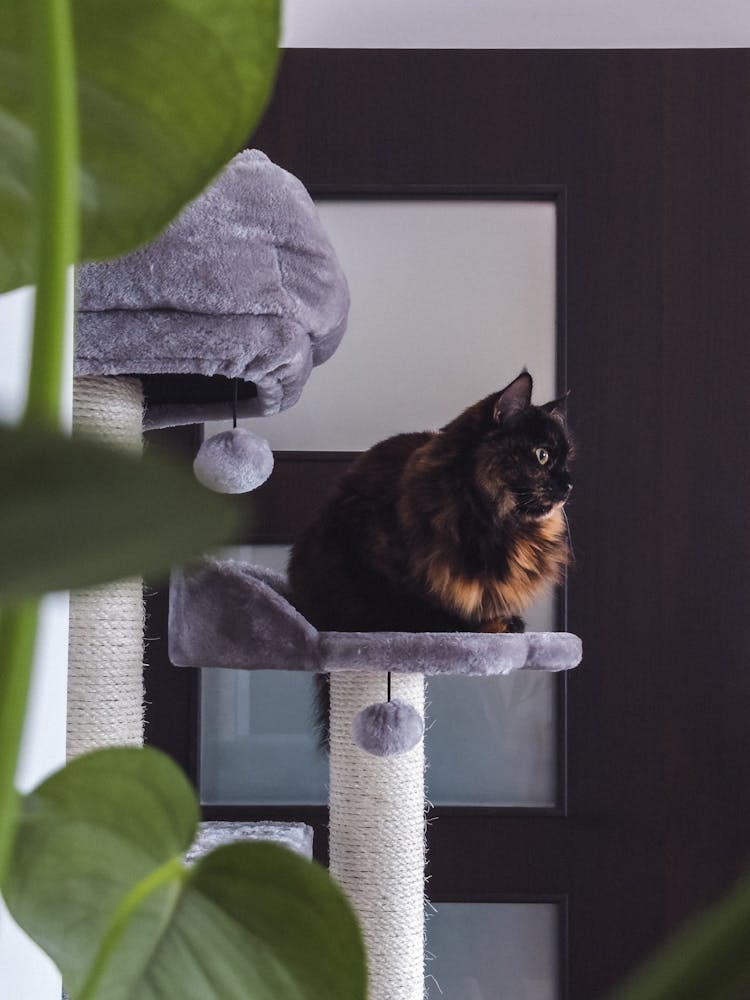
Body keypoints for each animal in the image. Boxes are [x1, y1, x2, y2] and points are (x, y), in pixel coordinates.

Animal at [290, 372, 572, 636]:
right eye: (542, 455)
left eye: (567, 460)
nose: (569, 485)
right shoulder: (371, 555)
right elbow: (423, 611)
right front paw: (492, 624)